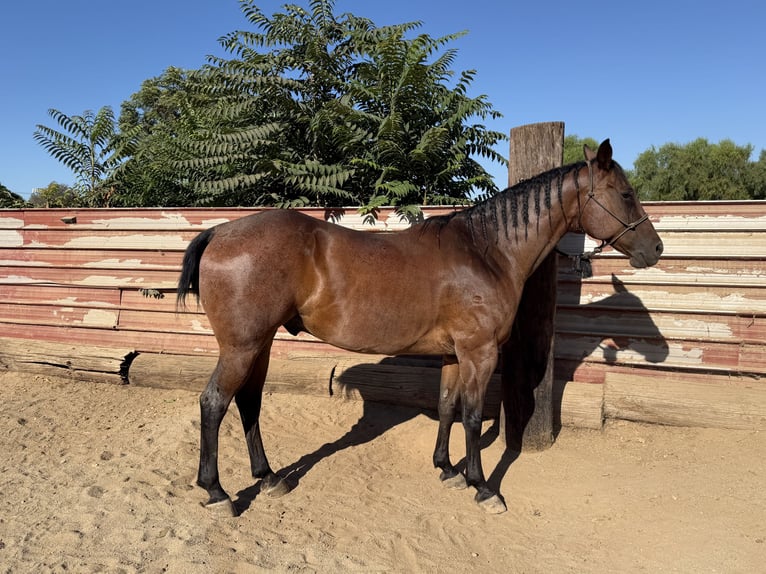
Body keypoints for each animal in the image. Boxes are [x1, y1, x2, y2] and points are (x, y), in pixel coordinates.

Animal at [177, 139, 663, 515]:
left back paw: (269, 477)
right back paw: (218, 492)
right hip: (242, 346)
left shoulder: (454, 354)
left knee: (248, 403)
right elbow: (471, 416)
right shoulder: (480, 352)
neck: (489, 251)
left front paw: (446, 468)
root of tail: (220, 232)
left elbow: (447, 407)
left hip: (259, 345)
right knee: (214, 403)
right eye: (625, 194)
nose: (655, 248)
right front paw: (482, 486)